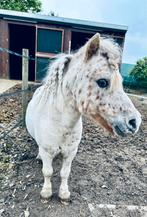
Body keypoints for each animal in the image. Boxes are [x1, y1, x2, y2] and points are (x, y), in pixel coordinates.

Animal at [25, 33, 142, 203]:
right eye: (102, 81)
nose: (135, 122)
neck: (61, 124)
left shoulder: (70, 152)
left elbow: (64, 173)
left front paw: (64, 194)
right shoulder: (47, 151)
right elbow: (47, 172)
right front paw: (46, 193)